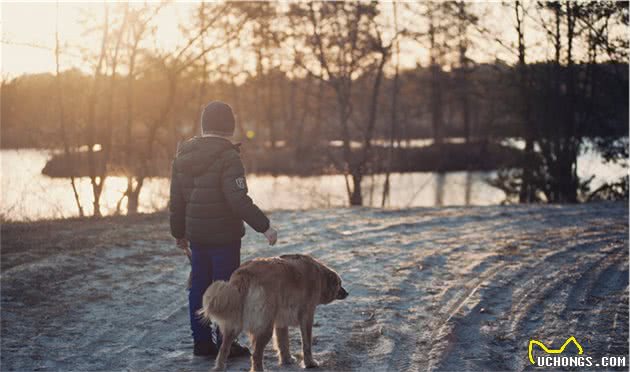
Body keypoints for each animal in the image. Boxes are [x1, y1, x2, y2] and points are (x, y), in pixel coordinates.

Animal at [199, 254, 350, 370]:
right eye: (339, 284)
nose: (347, 293)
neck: (319, 275)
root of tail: (245, 274)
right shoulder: (307, 316)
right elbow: (306, 343)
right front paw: (310, 363)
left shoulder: (280, 321)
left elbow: (283, 342)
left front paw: (287, 359)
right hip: (265, 327)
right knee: (256, 355)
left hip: (234, 325)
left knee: (223, 349)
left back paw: (219, 367)